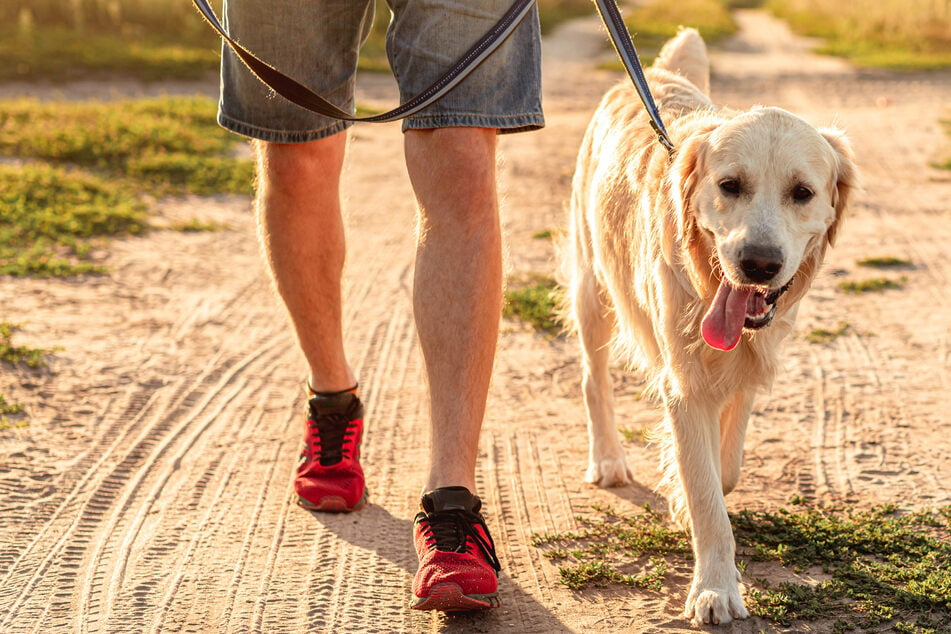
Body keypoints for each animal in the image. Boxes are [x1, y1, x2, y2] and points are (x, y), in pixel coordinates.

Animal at [560, 28, 860, 624]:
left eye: (803, 192)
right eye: (729, 185)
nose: (758, 264)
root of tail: (654, 73)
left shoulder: (749, 368)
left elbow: (725, 469)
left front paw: (686, 495)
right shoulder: (685, 383)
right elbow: (707, 499)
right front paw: (715, 589)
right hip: (592, 288)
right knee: (592, 378)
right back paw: (607, 458)